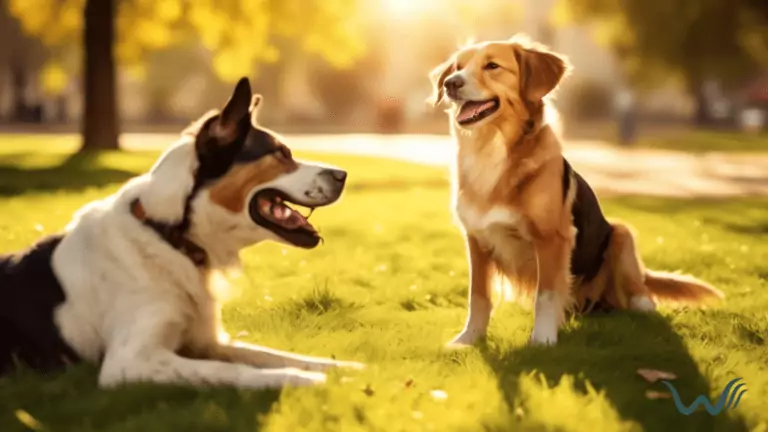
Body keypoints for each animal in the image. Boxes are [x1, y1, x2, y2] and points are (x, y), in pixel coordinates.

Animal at [0, 77, 364, 388]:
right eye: (282, 154)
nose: (343, 174)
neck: (170, 236)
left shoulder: (209, 341)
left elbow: (277, 355)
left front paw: (346, 369)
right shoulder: (130, 361)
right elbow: (229, 371)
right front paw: (304, 381)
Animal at [428, 34, 724, 348]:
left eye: (492, 66)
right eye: (457, 68)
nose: (451, 84)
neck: (491, 151)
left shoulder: (551, 239)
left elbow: (545, 296)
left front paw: (542, 341)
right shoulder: (476, 240)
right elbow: (478, 296)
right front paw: (468, 339)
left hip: (621, 234)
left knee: (640, 290)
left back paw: (641, 309)